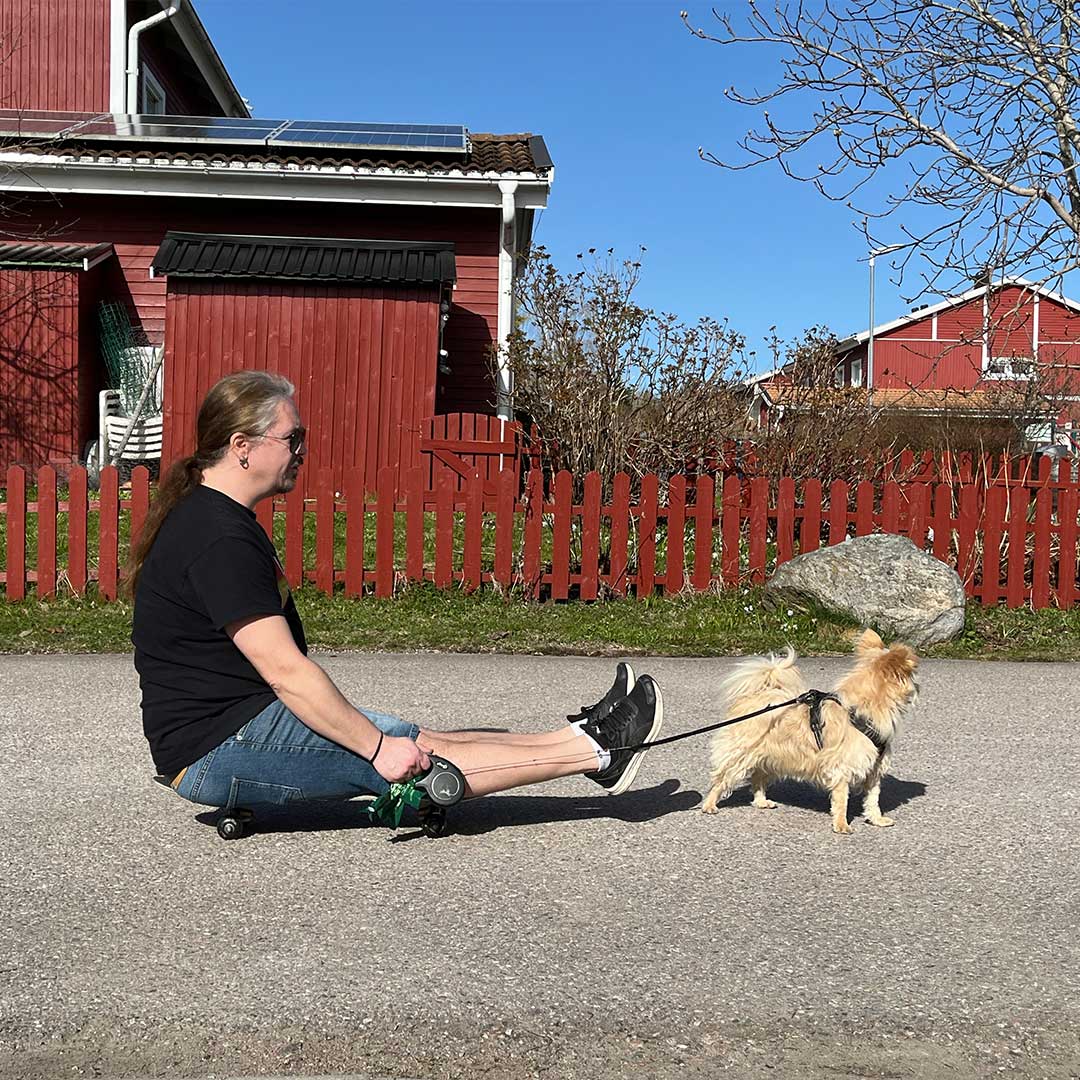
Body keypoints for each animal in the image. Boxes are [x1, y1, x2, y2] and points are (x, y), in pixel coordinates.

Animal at [699, 630, 920, 833]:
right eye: (912, 674)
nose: (918, 685)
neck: (858, 712)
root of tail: (756, 696)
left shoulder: (874, 769)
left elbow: (873, 799)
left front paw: (876, 819)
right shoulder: (841, 769)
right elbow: (842, 800)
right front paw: (841, 825)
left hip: (769, 756)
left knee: (758, 778)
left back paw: (761, 801)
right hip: (740, 755)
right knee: (721, 778)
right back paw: (709, 804)